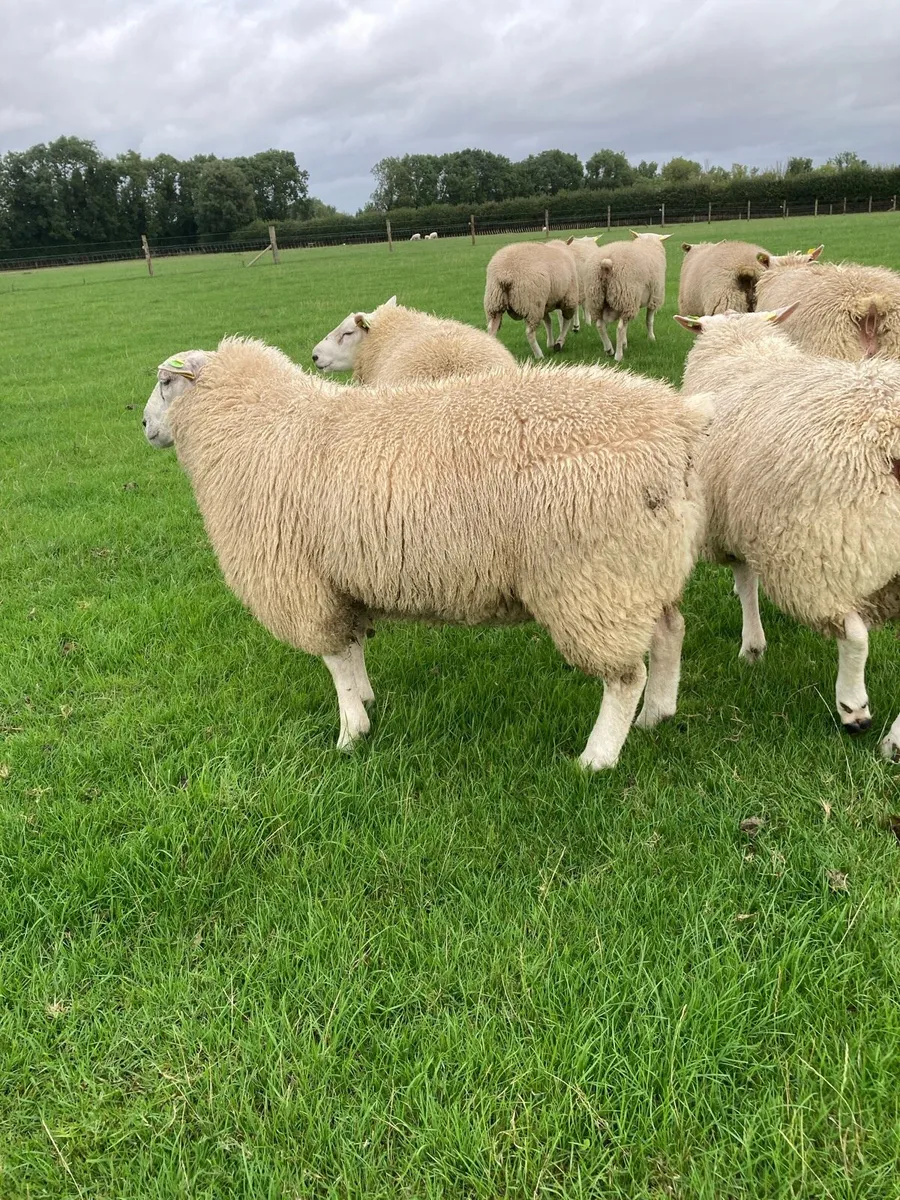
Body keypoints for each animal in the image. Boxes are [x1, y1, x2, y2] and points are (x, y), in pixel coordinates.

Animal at [143, 339, 710, 770]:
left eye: (167, 382)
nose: (144, 427)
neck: (252, 429)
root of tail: (677, 421)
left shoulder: (303, 584)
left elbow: (335, 660)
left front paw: (350, 733)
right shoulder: (341, 579)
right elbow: (353, 648)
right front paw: (366, 701)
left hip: (595, 581)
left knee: (625, 676)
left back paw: (598, 757)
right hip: (644, 567)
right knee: (670, 632)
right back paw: (657, 713)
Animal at [583, 232, 669, 362]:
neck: (647, 243)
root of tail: (606, 264)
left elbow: (627, 326)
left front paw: (624, 343)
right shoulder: (654, 297)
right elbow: (649, 320)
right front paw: (651, 338)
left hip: (596, 299)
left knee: (600, 325)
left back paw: (609, 349)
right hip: (626, 295)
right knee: (619, 328)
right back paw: (618, 356)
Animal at [676, 305, 900, 759]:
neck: (743, 350)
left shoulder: (731, 524)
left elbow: (746, 582)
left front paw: (752, 647)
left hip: (823, 549)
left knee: (853, 634)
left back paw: (854, 709)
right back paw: (895, 743)